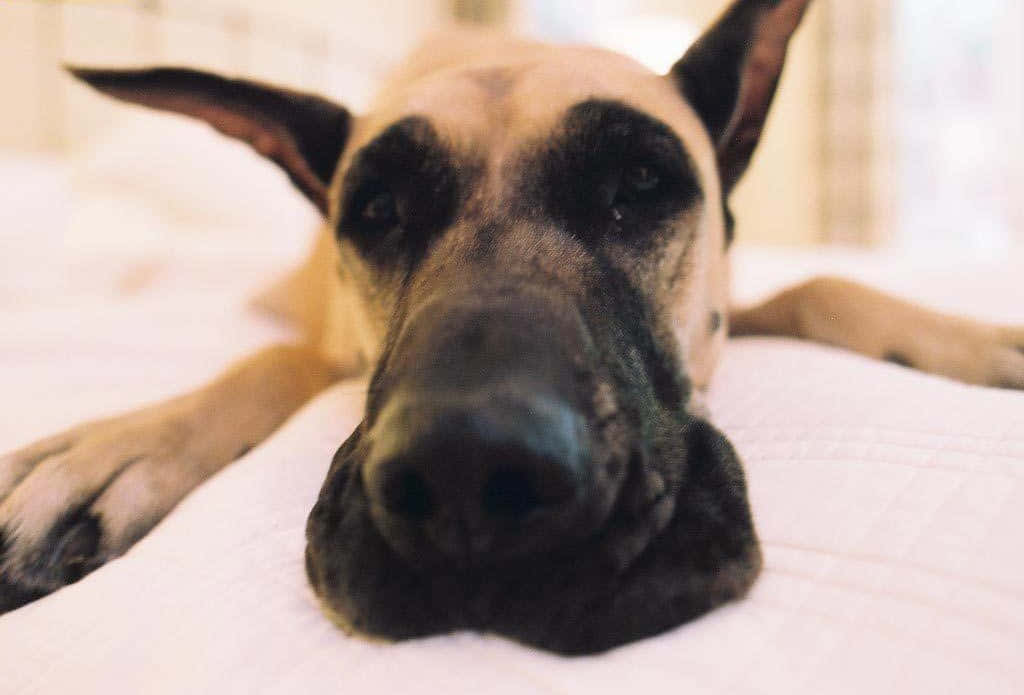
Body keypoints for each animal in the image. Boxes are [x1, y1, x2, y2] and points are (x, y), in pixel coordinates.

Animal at [2, 0, 1024, 650]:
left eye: (640, 183)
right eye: (376, 210)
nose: (469, 475)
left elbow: (822, 281)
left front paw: (973, 338)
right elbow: (274, 360)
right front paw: (116, 448)